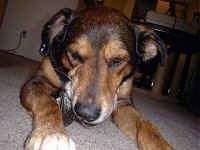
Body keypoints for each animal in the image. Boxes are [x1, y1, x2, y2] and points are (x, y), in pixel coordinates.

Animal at [20, 3, 173, 150]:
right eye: (74, 55)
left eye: (117, 60)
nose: (86, 114)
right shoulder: (37, 81)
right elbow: (47, 102)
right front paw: (52, 134)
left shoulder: (123, 103)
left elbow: (145, 124)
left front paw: (162, 145)